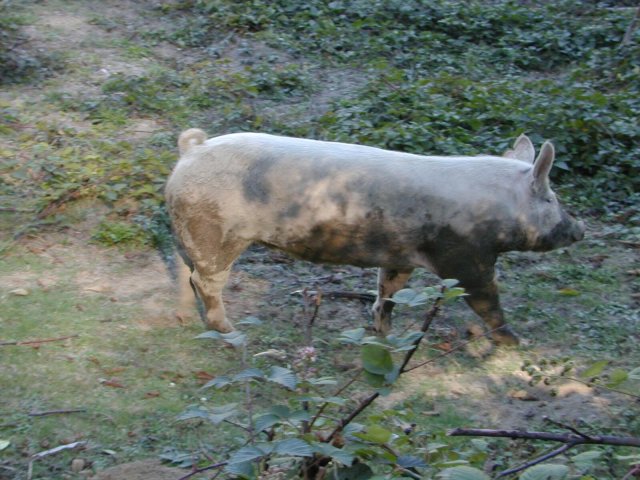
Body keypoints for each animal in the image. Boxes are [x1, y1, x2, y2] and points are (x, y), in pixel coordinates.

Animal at [165, 128, 584, 344]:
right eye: (550, 198)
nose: (580, 228)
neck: (498, 211)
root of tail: (192, 150)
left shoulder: (400, 255)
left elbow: (389, 290)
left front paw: (382, 334)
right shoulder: (466, 258)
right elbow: (486, 300)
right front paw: (516, 342)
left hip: (187, 231)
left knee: (184, 273)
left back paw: (184, 319)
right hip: (215, 231)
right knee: (207, 279)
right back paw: (230, 330)